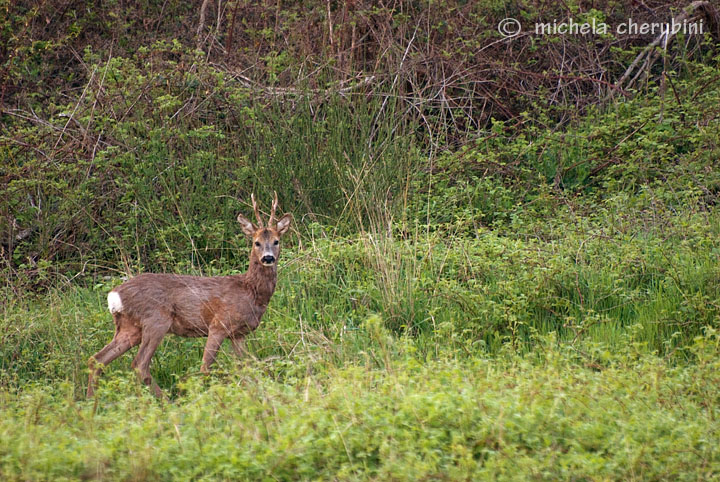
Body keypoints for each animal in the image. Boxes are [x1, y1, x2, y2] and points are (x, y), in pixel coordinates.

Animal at [86, 194, 292, 398]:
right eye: (256, 242)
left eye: (276, 241)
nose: (268, 258)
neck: (251, 292)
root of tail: (115, 295)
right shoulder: (218, 325)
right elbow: (205, 367)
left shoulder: (238, 334)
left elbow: (248, 369)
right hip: (156, 320)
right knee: (139, 364)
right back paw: (166, 400)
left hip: (129, 328)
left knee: (97, 359)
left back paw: (91, 401)